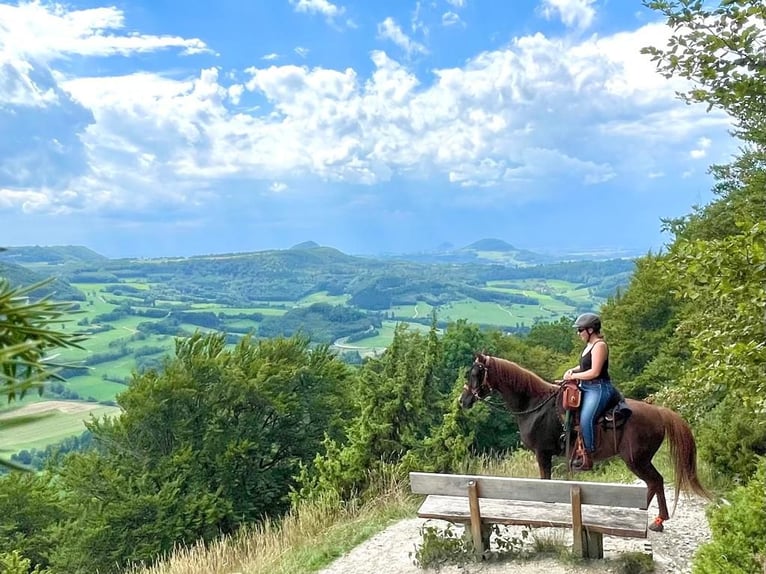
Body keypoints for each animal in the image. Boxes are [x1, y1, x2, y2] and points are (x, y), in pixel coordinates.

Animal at [460, 356, 712, 536]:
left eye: (475, 373)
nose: (463, 400)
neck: (534, 405)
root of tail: (659, 411)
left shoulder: (543, 453)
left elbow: (545, 482)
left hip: (636, 460)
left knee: (655, 481)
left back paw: (654, 519)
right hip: (640, 460)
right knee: (654, 483)